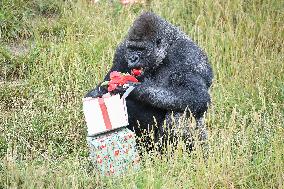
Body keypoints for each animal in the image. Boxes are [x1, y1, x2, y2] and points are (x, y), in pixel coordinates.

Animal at [85, 11, 214, 153]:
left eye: (141, 49)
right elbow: (106, 82)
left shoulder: (189, 55)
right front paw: (96, 93)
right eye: (131, 48)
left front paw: (132, 88)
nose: (133, 58)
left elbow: (197, 96)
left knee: (182, 111)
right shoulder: (121, 51)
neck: (167, 48)